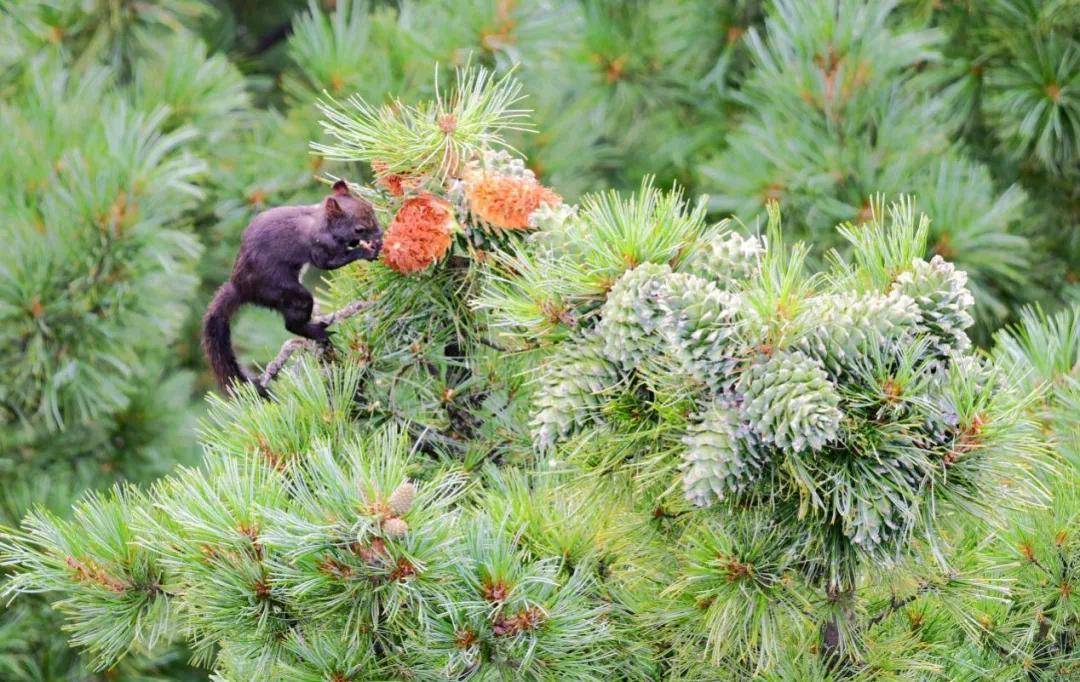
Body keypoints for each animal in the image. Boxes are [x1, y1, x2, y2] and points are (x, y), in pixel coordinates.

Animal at [203, 178, 384, 397]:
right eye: (359, 228)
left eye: (370, 208)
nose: (380, 233)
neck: (321, 223)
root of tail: (240, 287)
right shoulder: (320, 248)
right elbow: (329, 263)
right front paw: (366, 251)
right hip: (286, 292)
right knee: (291, 324)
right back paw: (318, 332)